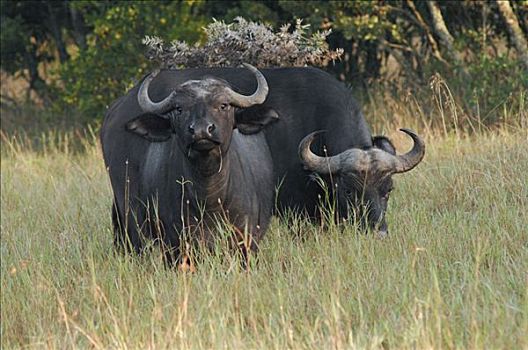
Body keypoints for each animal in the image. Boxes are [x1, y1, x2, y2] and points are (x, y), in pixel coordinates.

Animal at [101, 63, 278, 262]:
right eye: (179, 109)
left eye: (223, 105)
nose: (201, 130)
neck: (209, 199)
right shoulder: (174, 243)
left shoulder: (246, 240)